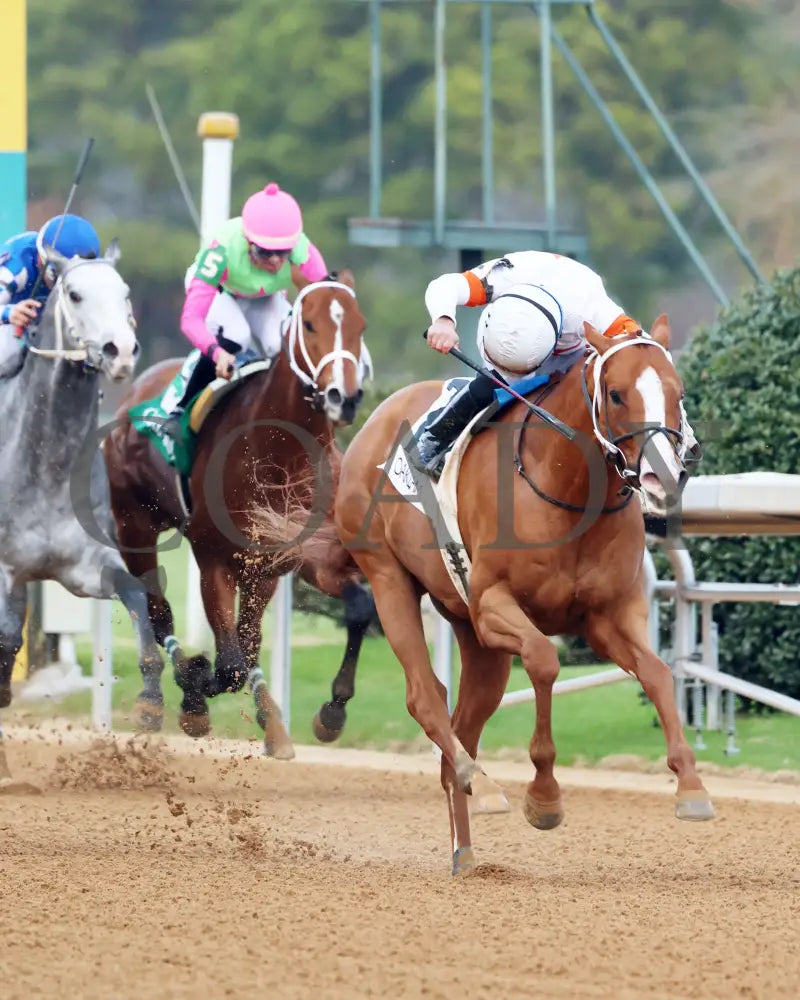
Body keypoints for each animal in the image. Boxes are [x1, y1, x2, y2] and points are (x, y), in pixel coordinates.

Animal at [0, 244, 167, 788]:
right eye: (74, 293)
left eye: (125, 292)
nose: (121, 351)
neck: (45, 463)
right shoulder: (5, 570)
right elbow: (5, 640)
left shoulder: (87, 568)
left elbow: (138, 597)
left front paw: (151, 703)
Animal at [102, 270, 376, 752]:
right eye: (309, 324)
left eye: (360, 325)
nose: (343, 397)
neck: (278, 453)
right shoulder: (214, 557)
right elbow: (228, 664)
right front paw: (195, 689)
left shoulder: (292, 555)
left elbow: (358, 608)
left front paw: (332, 712)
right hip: (135, 526)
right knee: (155, 610)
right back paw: (161, 698)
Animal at [334, 316, 716, 872]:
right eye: (617, 394)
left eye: (677, 392)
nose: (663, 477)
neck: (567, 488)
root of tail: (374, 421)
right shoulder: (493, 605)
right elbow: (543, 660)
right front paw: (545, 795)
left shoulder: (607, 616)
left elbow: (659, 674)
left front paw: (691, 786)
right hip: (388, 579)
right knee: (426, 699)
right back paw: (482, 783)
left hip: (473, 637)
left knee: (462, 725)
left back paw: (465, 849)